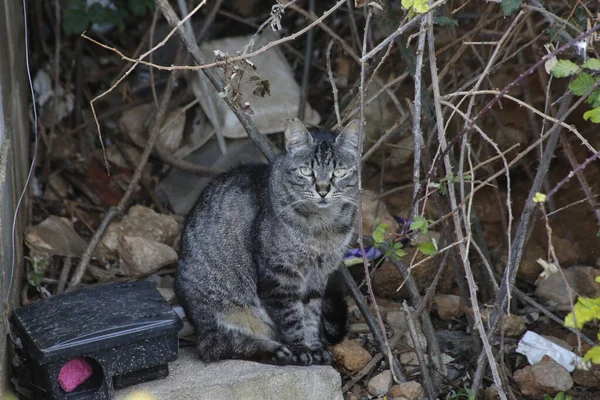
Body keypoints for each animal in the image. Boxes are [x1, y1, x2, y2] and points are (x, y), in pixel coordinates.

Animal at [175, 117, 360, 364]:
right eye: (306, 171)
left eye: (339, 172)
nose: (322, 189)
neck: (322, 228)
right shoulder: (278, 275)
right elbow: (291, 317)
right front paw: (301, 349)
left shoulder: (318, 276)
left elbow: (311, 313)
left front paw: (314, 347)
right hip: (223, 307)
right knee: (218, 347)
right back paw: (276, 351)